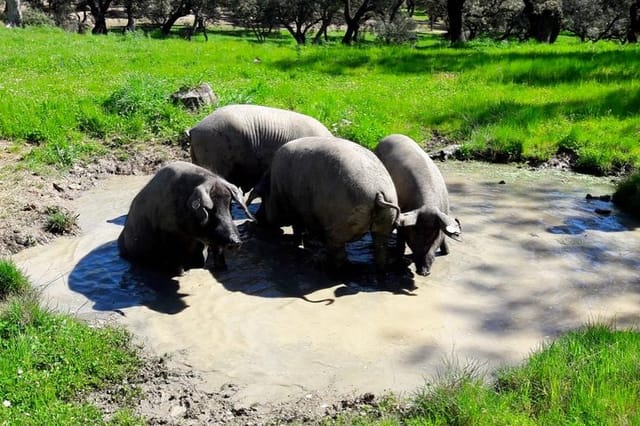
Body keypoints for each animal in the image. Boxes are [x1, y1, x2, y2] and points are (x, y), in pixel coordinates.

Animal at [119, 161, 254, 276]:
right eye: (209, 209)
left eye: (229, 205)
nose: (236, 242)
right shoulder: (168, 233)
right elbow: (175, 258)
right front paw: (182, 273)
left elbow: (217, 252)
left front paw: (223, 269)